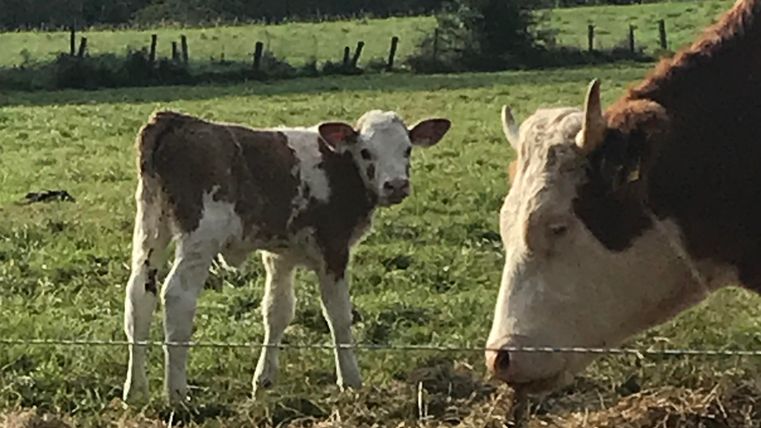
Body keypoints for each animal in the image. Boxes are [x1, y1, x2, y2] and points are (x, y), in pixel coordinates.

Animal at [122, 109, 451, 403]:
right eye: (366, 152)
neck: (340, 167)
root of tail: (174, 120)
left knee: (140, 294)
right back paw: (177, 392)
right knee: (177, 297)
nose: (396, 185)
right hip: (200, 238)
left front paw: (264, 380)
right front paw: (350, 380)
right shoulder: (334, 250)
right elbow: (339, 316)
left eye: (407, 149)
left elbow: (277, 311)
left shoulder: (280, 256)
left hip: (151, 225)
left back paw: (136, 390)